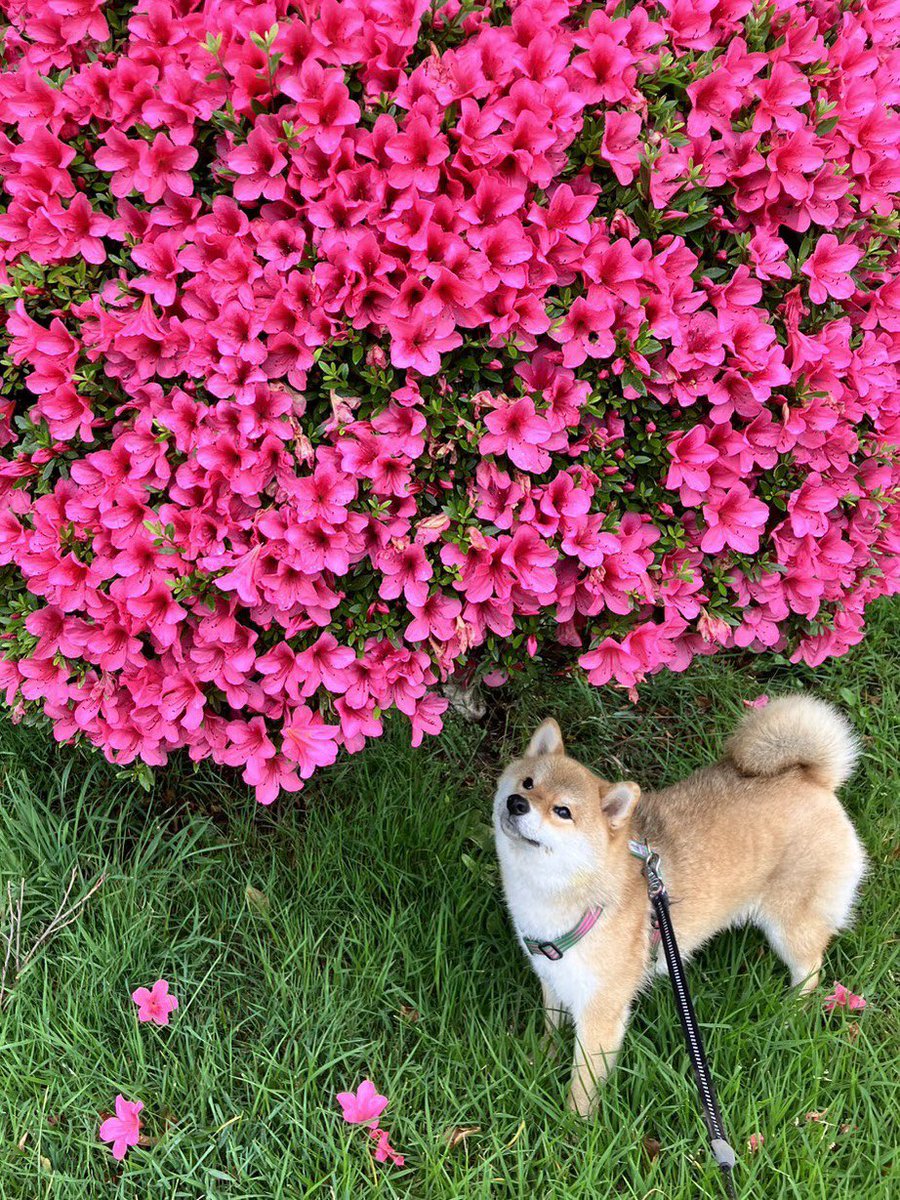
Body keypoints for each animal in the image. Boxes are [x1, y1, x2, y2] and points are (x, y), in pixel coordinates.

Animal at [496, 696, 868, 1113]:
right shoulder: (554, 980)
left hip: (790, 926)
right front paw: (539, 1063)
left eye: (563, 812)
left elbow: (583, 1084)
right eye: (528, 782)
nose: (517, 802)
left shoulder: (601, 1009)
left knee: (810, 968)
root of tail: (811, 778)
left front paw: (574, 1122)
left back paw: (791, 1012)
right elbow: (550, 1029)